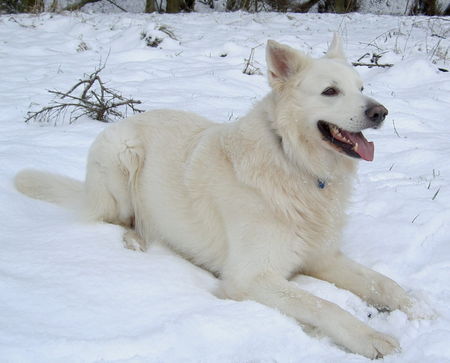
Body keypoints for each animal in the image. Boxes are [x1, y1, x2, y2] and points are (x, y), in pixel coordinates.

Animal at [16, 35, 418, 360]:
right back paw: (136, 240)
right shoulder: (251, 277)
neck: (294, 164)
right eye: (330, 92)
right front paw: (371, 338)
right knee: (115, 220)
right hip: (122, 158)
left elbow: (384, 283)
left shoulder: (322, 257)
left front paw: (418, 308)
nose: (381, 112)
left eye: (362, 87)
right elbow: (323, 305)